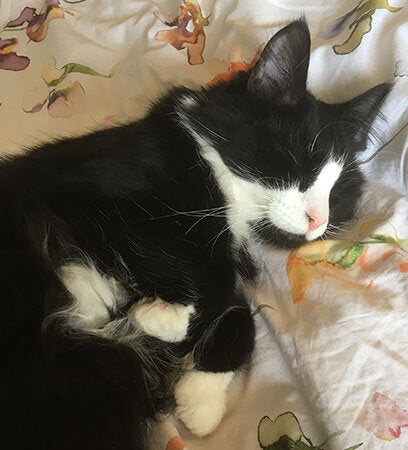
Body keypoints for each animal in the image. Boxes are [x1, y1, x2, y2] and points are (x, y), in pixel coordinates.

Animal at [1, 19, 388, 448]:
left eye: (337, 193)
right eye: (298, 163)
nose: (317, 220)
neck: (225, 201)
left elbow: (242, 311)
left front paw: (200, 399)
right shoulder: (87, 201)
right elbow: (207, 277)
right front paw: (164, 319)